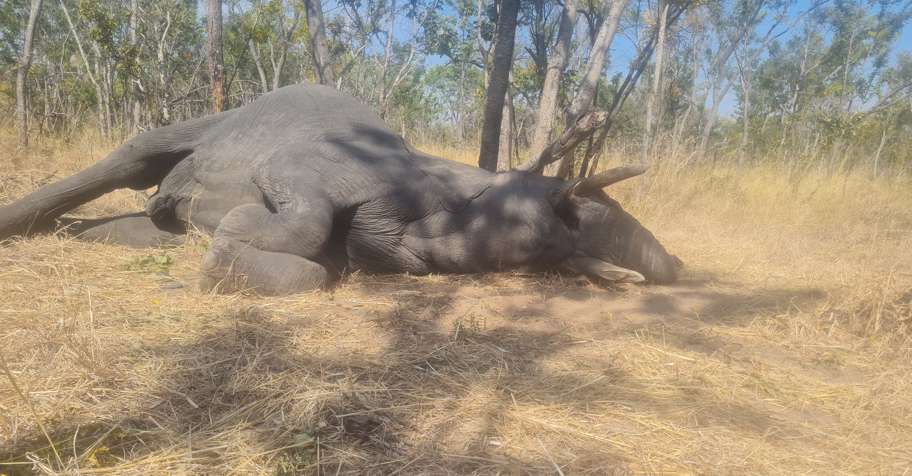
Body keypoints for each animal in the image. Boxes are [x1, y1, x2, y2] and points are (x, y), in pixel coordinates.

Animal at [0, 83, 681, 295]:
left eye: (557, 251)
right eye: (571, 209)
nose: (674, 263)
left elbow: (319, 269)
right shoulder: (302, 165)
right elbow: (301, 222)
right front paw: (230, 245)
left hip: (154, 225)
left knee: (131, 227)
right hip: (183, 134)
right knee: (132, 156)